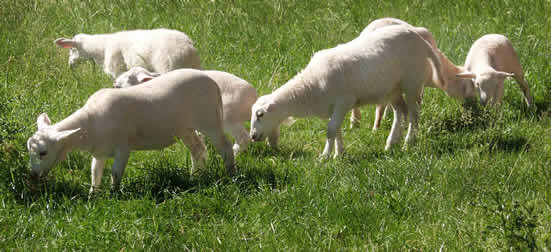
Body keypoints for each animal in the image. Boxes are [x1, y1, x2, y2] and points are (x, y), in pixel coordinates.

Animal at [27, 69, 234, 193]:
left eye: (43, 152)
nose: (33, 176)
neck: (90, 122)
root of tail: (212, 82)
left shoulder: (123, 148)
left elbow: (115, 173)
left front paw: (114, 195)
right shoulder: (99, 152)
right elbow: (95, 173)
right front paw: (93, 195)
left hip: (209, 120)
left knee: (225, 147)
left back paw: (231, 175)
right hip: (185, 128)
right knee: (198, 149)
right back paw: (195, 177)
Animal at [52, 28, 201, 79]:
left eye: (72, 49)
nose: (70, 65)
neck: (102, 47)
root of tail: (187, 48)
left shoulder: (117, 69)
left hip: (168, 66)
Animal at [113, 67, 258, 157]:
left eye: (125, 81)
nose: (114, 84)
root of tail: (253, 100)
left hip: (228, 117)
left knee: (243, 138)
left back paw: (234, 153)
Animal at [250, 25, 448, 158]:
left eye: (260, 114)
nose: (252, 136)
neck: (310, 87)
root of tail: (420, 39)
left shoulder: (343, 102)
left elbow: (330, 130)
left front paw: (325, 156)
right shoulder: (332, 108)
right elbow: (336, 130)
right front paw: (339, 154)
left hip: (412, 83)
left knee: (414, 114)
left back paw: (408, 143)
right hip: (392, 89)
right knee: (401, 111)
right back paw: (391, 144)